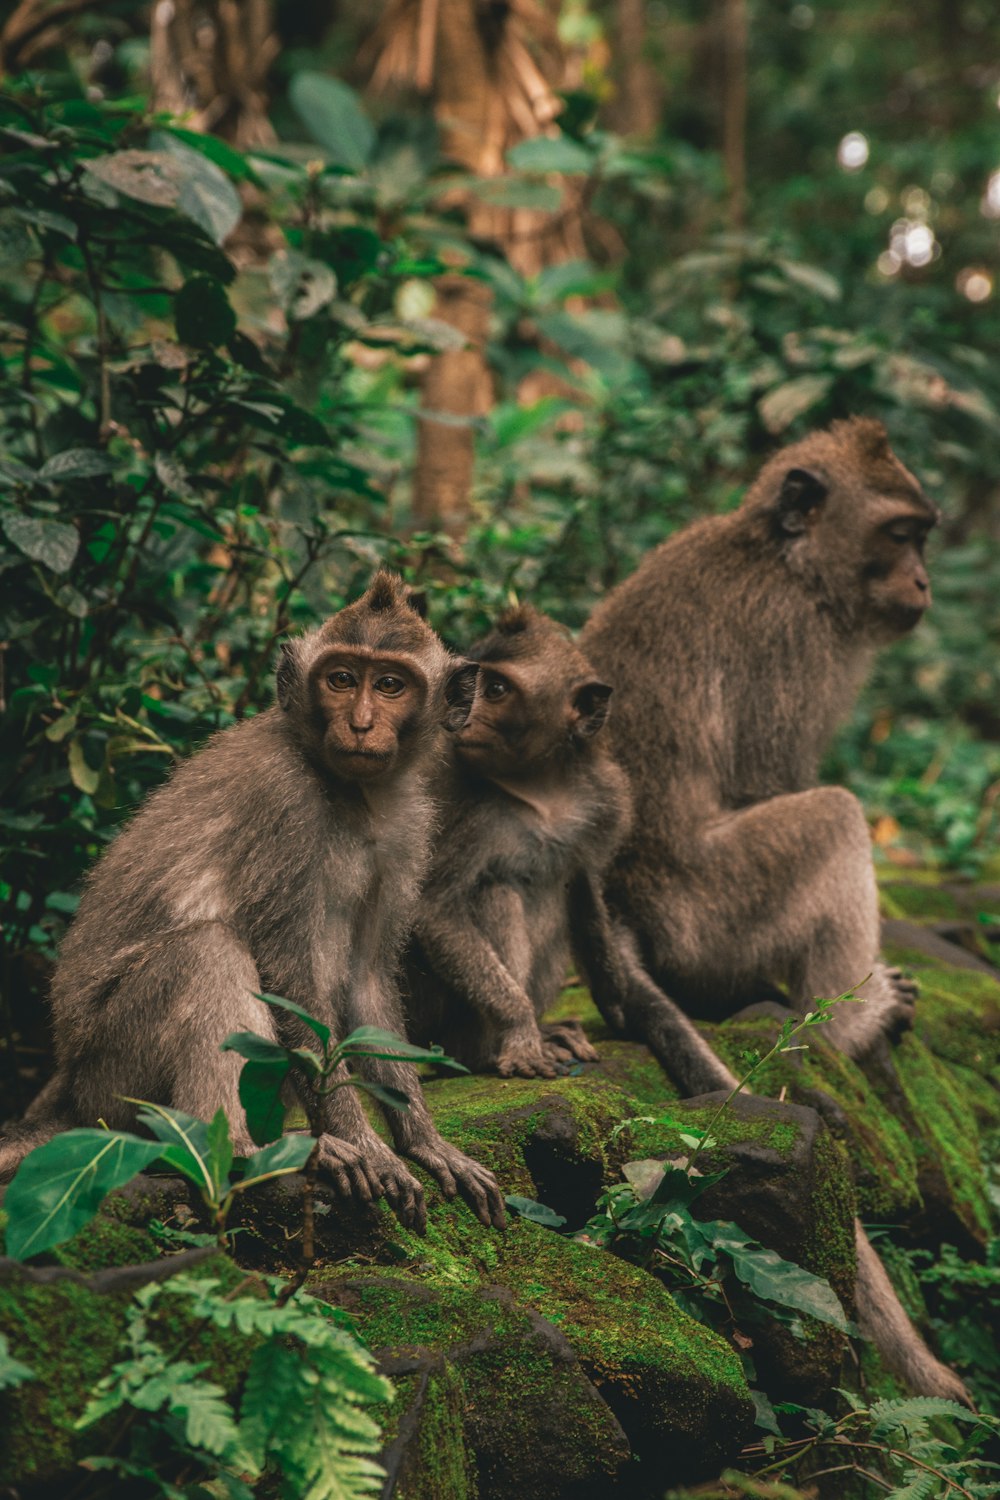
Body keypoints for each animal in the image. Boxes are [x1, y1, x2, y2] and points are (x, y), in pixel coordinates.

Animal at [0, 570, 503, 1230]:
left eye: (390, 685)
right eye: (342, 679)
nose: (361, 723)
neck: (353, 793)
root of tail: (70, 1093)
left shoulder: (409, 829)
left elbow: (366, 981)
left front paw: (424, 1140)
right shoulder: (284, 805)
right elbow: (290, 981)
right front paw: (364, 1142)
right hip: (113, 1076)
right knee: (207, 952)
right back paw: (243, 1150)